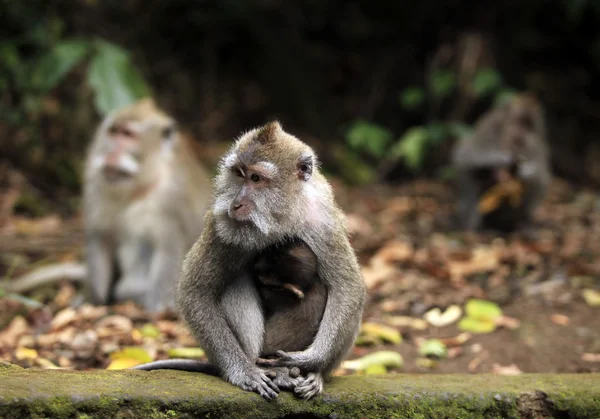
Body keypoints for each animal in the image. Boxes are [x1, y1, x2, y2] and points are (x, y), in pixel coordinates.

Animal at [82, 98, 211, 314]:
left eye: (128, 135)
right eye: (114, 131)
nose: (110, 154)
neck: (135, 191)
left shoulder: (172, 201)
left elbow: (168, 248)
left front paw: (157, 305)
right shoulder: (97, 185)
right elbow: (101, 237)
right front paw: (95, 298)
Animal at [132, 120, 366, 400]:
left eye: (256, 178)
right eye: (239, 174)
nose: (236, 204)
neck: (281, 216)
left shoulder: (323, 221)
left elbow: (347, 287)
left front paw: (310, 360)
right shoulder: (221, 226)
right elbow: (196, 292)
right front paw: (243, 372)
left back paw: (313, 374)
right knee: (234, 282)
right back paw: (262, 367)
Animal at [450, 92, 552, 235]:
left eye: (529, 125)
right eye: (519, 121)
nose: (520, 133)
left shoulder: (536, 144)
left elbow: (542, 177)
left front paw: (526, 172)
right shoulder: (490, 126)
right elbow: (465, 155)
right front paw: (503, 160)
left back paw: (520, 224)